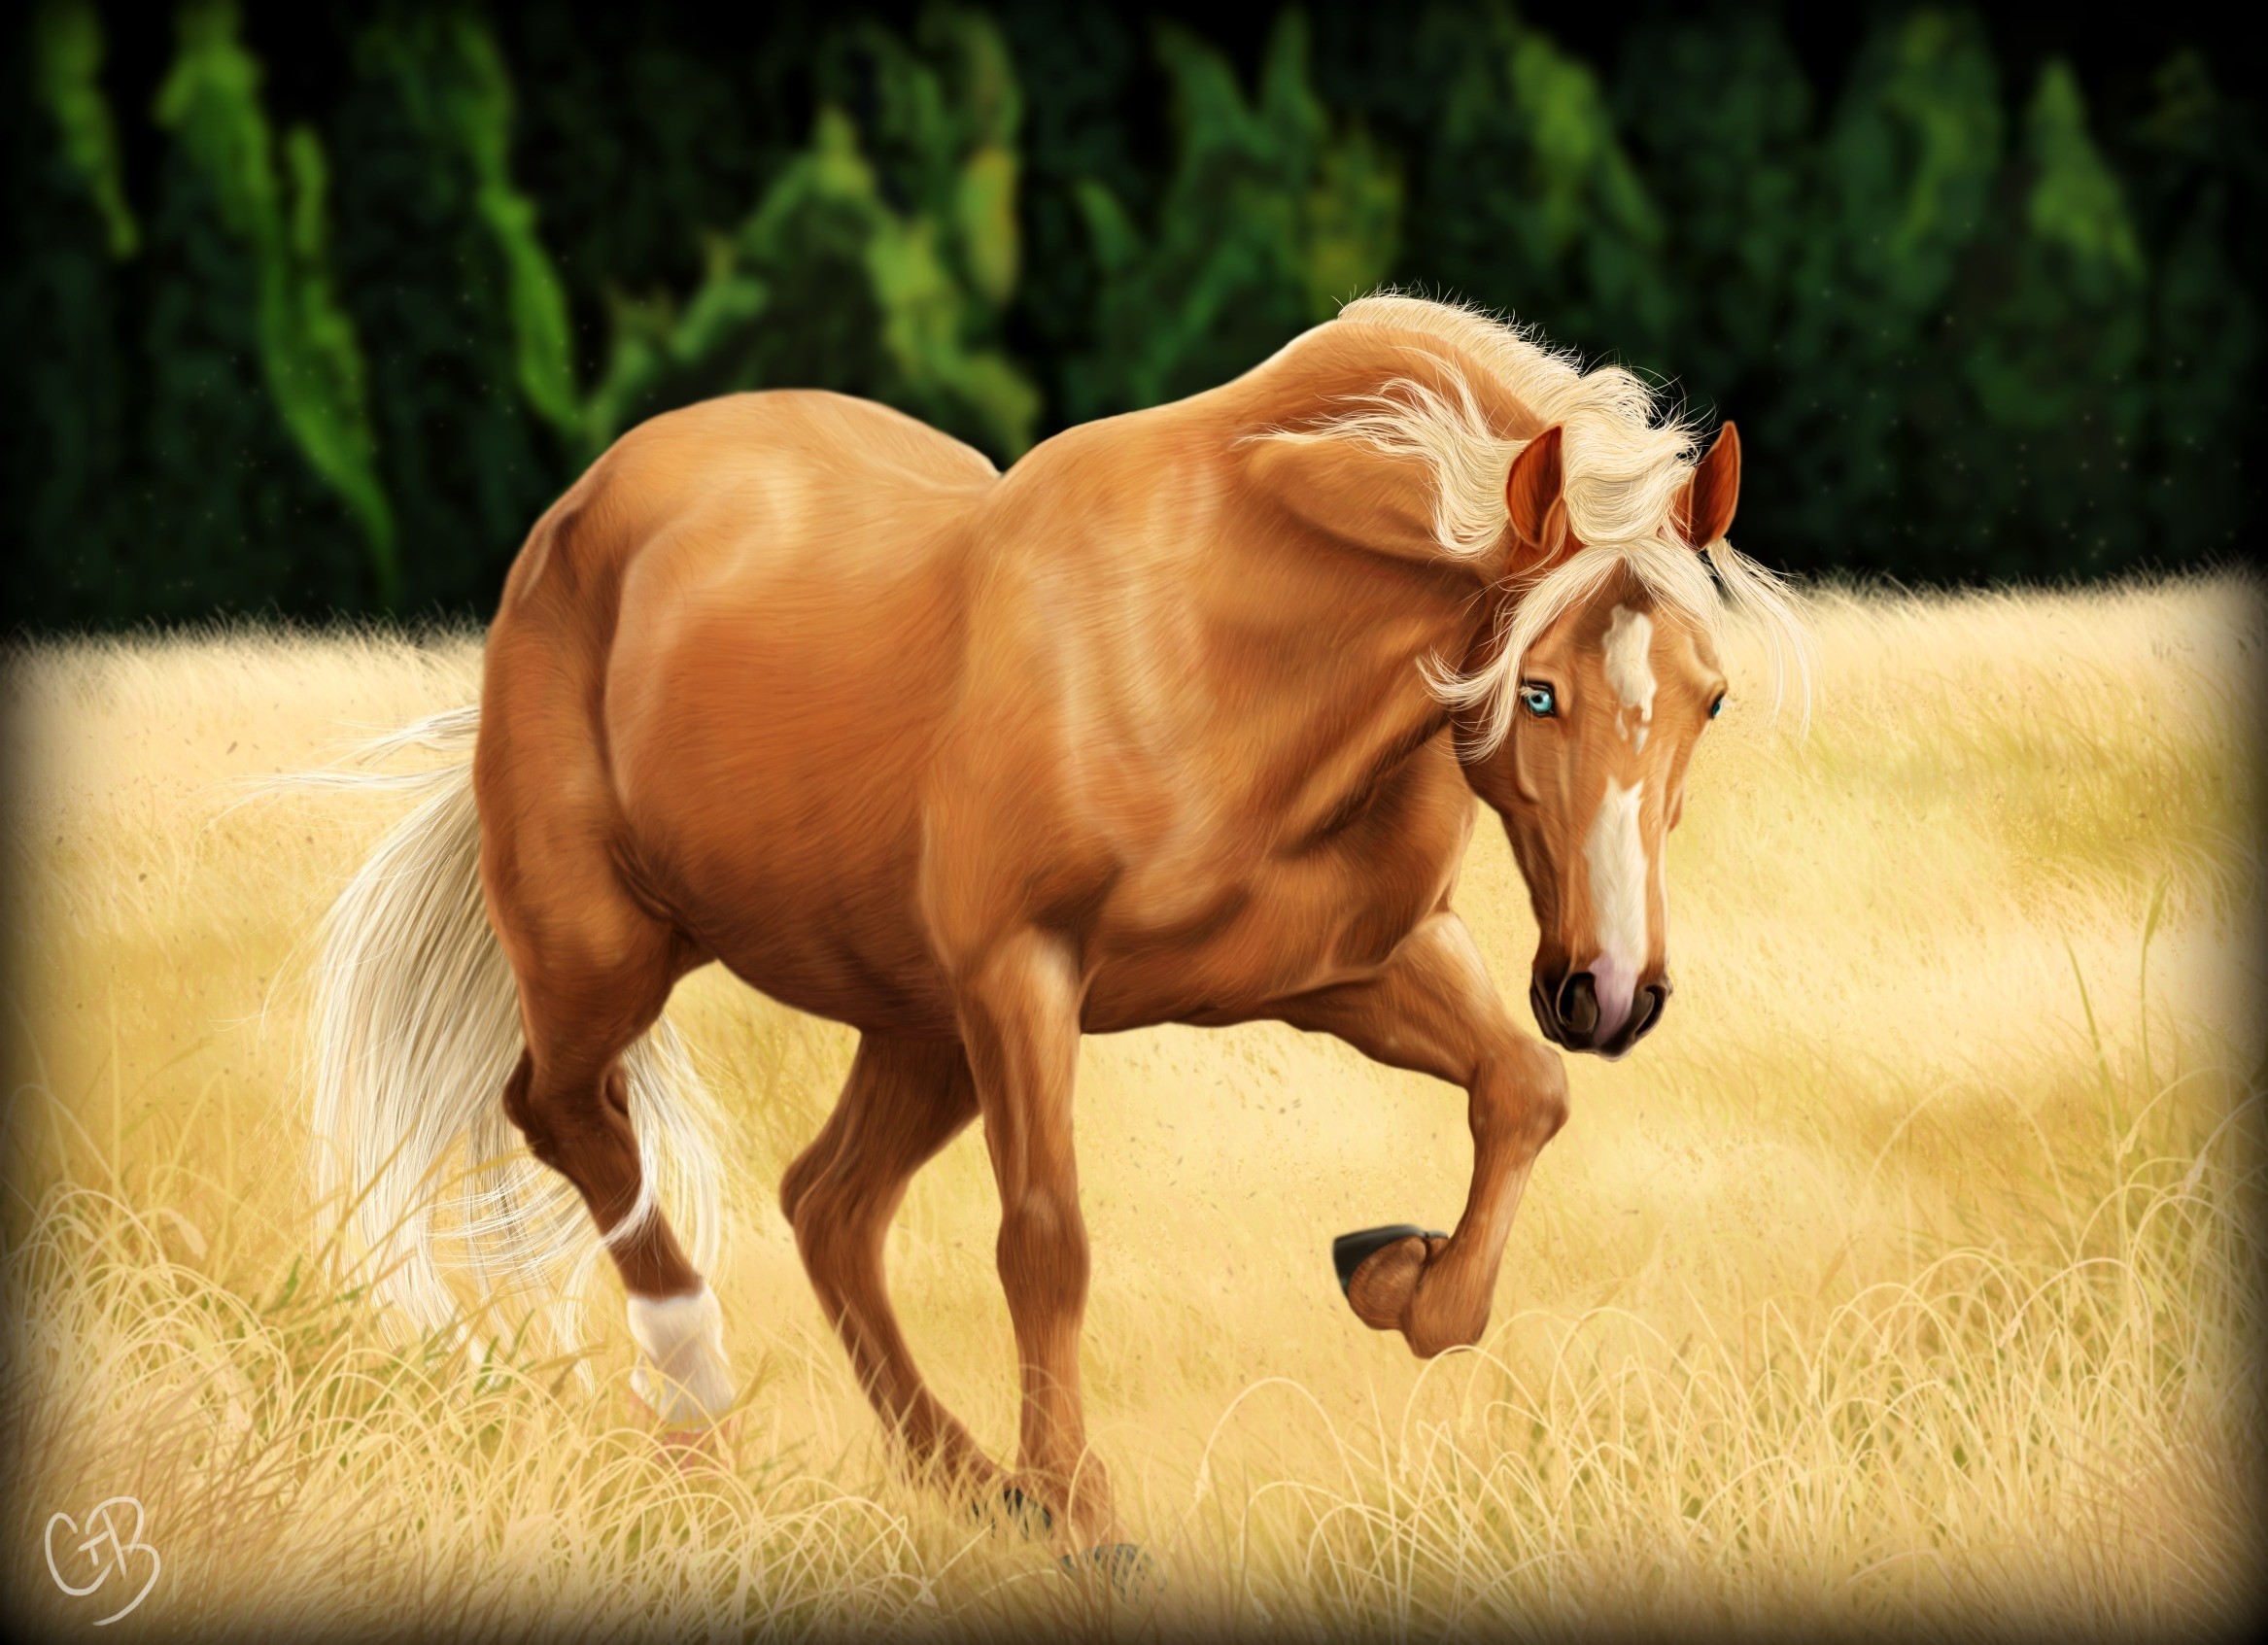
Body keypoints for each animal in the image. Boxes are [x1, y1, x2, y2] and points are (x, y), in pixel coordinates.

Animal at [307, 294, 1803, 1556]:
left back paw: (970, 1483)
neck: (1227, 655)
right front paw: (1086, 1509)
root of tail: (585, 507)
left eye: (1711, 696)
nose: (1613, 990)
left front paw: (1393, 1275)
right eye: (1536, 691)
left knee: (826, 1203)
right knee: (567, 1111)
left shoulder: (1356, 966)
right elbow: (1047, 1240)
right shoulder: (1024, 975)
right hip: (614, 948)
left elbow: (1523, 1090)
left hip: (913, 1021)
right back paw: (702, 1398)